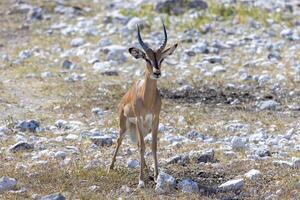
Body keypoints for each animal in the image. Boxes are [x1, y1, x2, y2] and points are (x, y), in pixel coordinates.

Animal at [108, 20, 177, 188]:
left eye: (162, 59)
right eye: (146, 59)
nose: (157, 73)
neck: (147, 100)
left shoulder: (155, 119)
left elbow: (153, 146)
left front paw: (157, 176)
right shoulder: (139, 119)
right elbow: (142, 148)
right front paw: (140, 181)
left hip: (144, 128)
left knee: (140, 143)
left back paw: (147, 169)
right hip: (125, 125)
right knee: (120, 140)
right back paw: (111, 167)